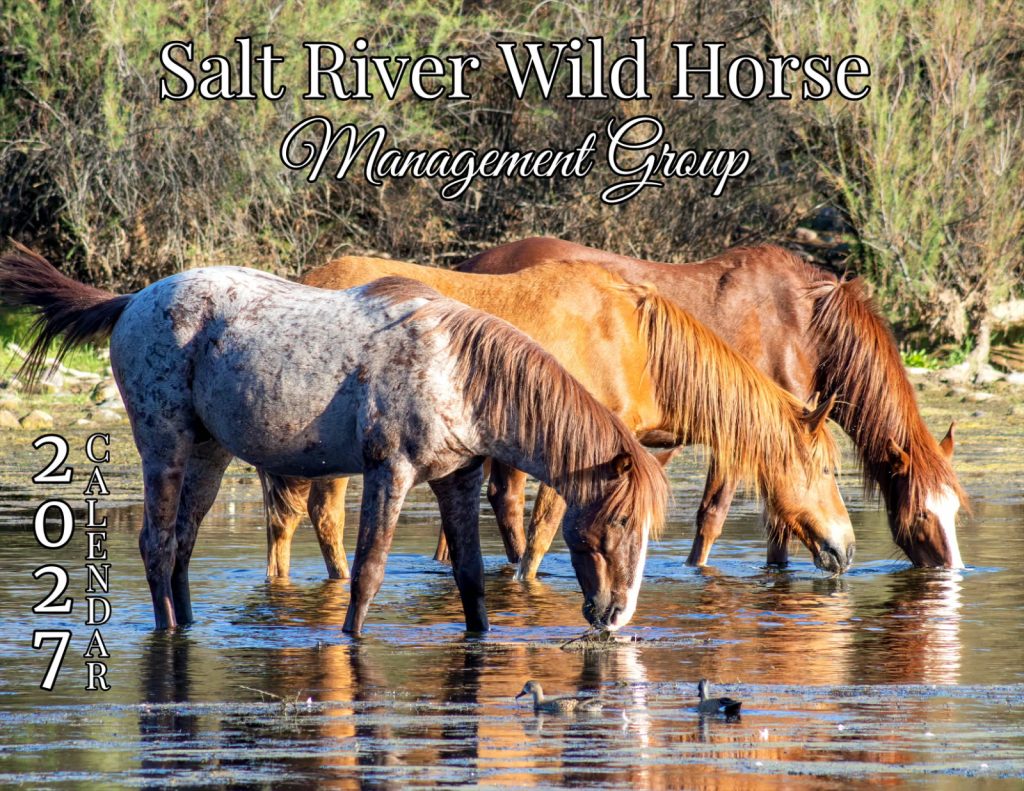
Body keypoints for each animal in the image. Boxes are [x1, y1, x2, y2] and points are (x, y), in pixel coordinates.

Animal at [0, 245, 668, 634]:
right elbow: (367, 571)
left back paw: (188, 625)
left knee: (182, 544)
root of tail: (134, 299)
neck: (455, 369)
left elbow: (472, 578)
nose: (615, 616)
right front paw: (350, 640)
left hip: (208, 455)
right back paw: (167, 631)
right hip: (163, 448)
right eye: (618, 522)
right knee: (157, 545)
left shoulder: (457, 478)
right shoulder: (389, 473)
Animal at [259, 255, 854, 581]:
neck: (634, 343)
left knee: (287, 523)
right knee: (322, 518)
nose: (846, 548)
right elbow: (544, 532)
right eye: (827, 470)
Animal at [459, 237, 967, 568]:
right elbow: (713, 517)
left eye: (955, 511)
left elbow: (778, 525)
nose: (952, 570)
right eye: (921, 514)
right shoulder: (743, 435)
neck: (805, 327)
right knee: (506, 500)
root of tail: (474, 263)